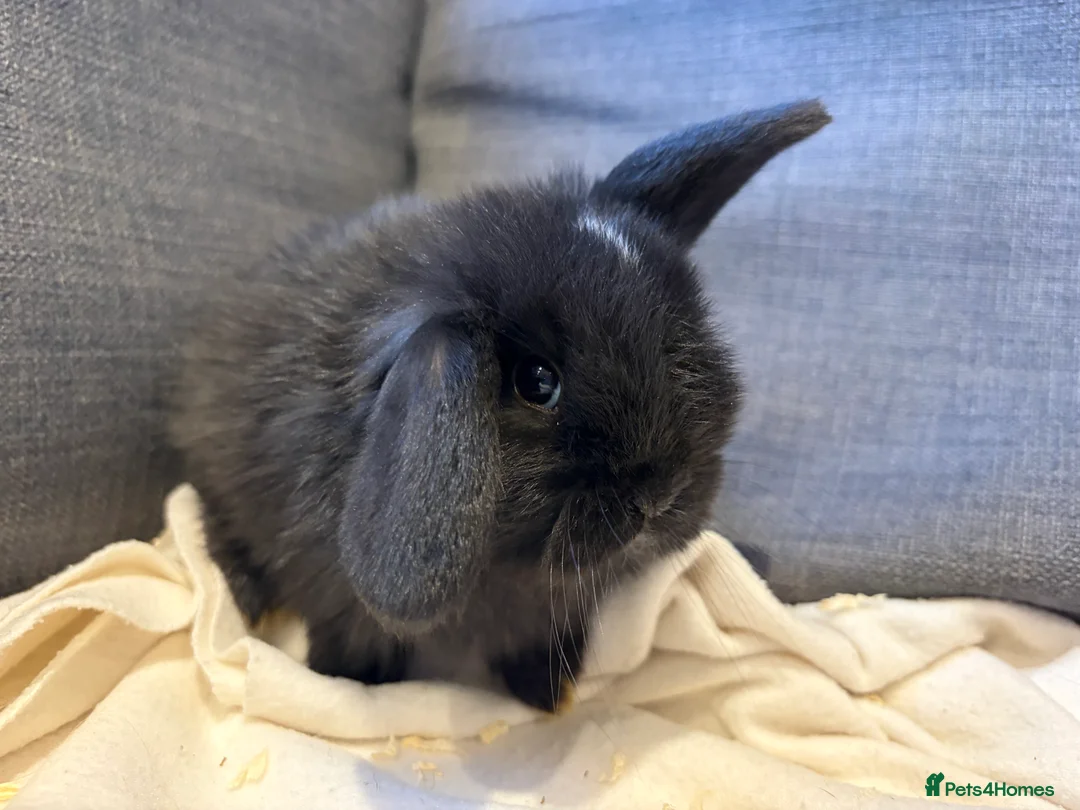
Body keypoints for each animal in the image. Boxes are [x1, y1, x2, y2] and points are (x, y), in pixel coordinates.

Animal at [167, 100, 830, 712]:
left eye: (682, 328)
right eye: (536, 382)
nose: (660, 497)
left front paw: (550, 693)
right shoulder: (340, 602)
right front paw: (346, 684)